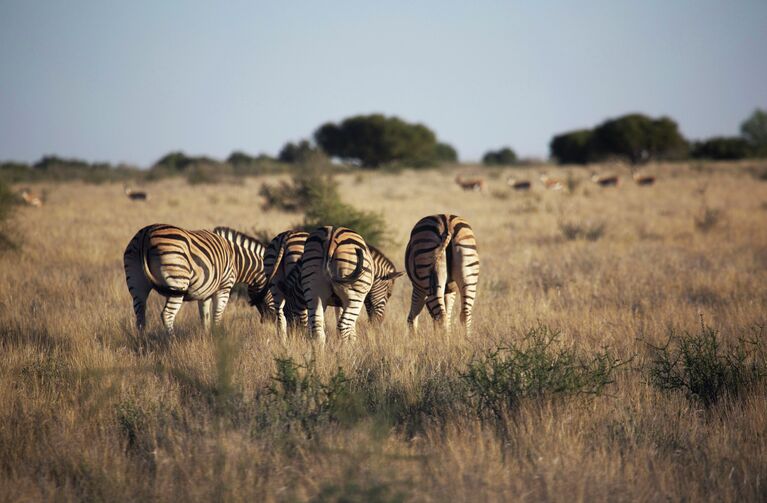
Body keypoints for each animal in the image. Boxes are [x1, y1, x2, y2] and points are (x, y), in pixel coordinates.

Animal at [123, 223, 270, 334]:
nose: (269, 321)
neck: (236, 260)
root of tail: (146, 235)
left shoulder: (205, 293)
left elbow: (205, 318)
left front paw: (207, 338)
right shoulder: (224, 288)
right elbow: (217, 316)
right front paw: (217, 339)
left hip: (137, 283)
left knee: (140, 316)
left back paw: (143, 343)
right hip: (178, 281)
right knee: (167, 315)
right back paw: (171, 342)